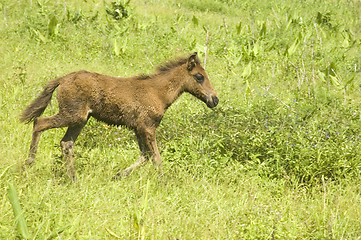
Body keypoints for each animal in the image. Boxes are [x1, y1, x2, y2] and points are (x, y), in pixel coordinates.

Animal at [21, 52, 218, 180]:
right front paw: (162, 183)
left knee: (66, 143)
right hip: (72, 115)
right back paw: (29, 163)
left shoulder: (138, 128)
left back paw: (73, 178)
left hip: (81, 119)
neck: (158, 92)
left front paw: (117, 176)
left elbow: (145, 156)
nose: (214, 100)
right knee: (39, 122)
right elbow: (156, 158)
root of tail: (62, 79)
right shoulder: (147, 127)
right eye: (199, 77)